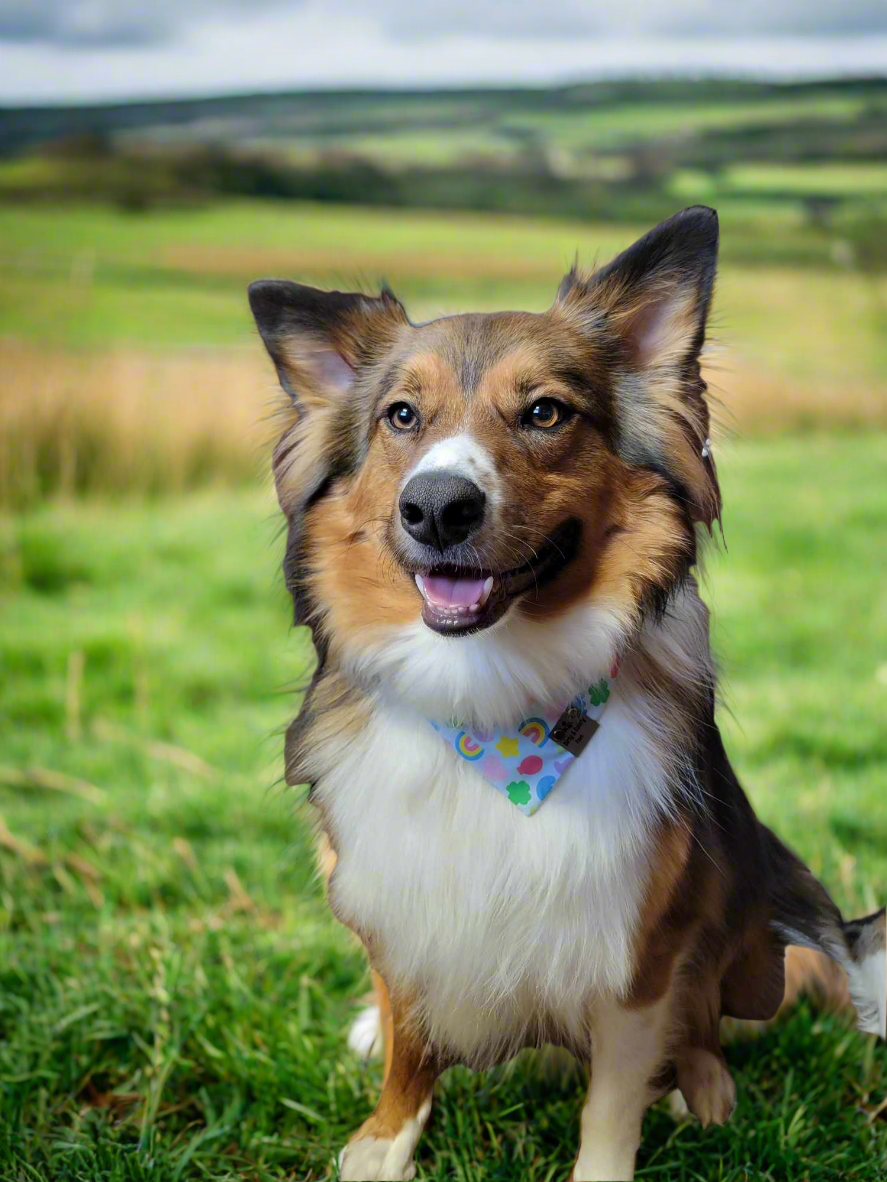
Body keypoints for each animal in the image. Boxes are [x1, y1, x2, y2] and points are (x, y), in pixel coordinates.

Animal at [250, 208, 887, 1182]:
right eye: (401, 416)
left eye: (545, 411)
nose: (436, 507)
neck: (489, 707)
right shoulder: (396, 898)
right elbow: (409, 1043)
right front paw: (383, 1141)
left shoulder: (638, 943)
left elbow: (613, 1098)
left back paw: (707, 1093)